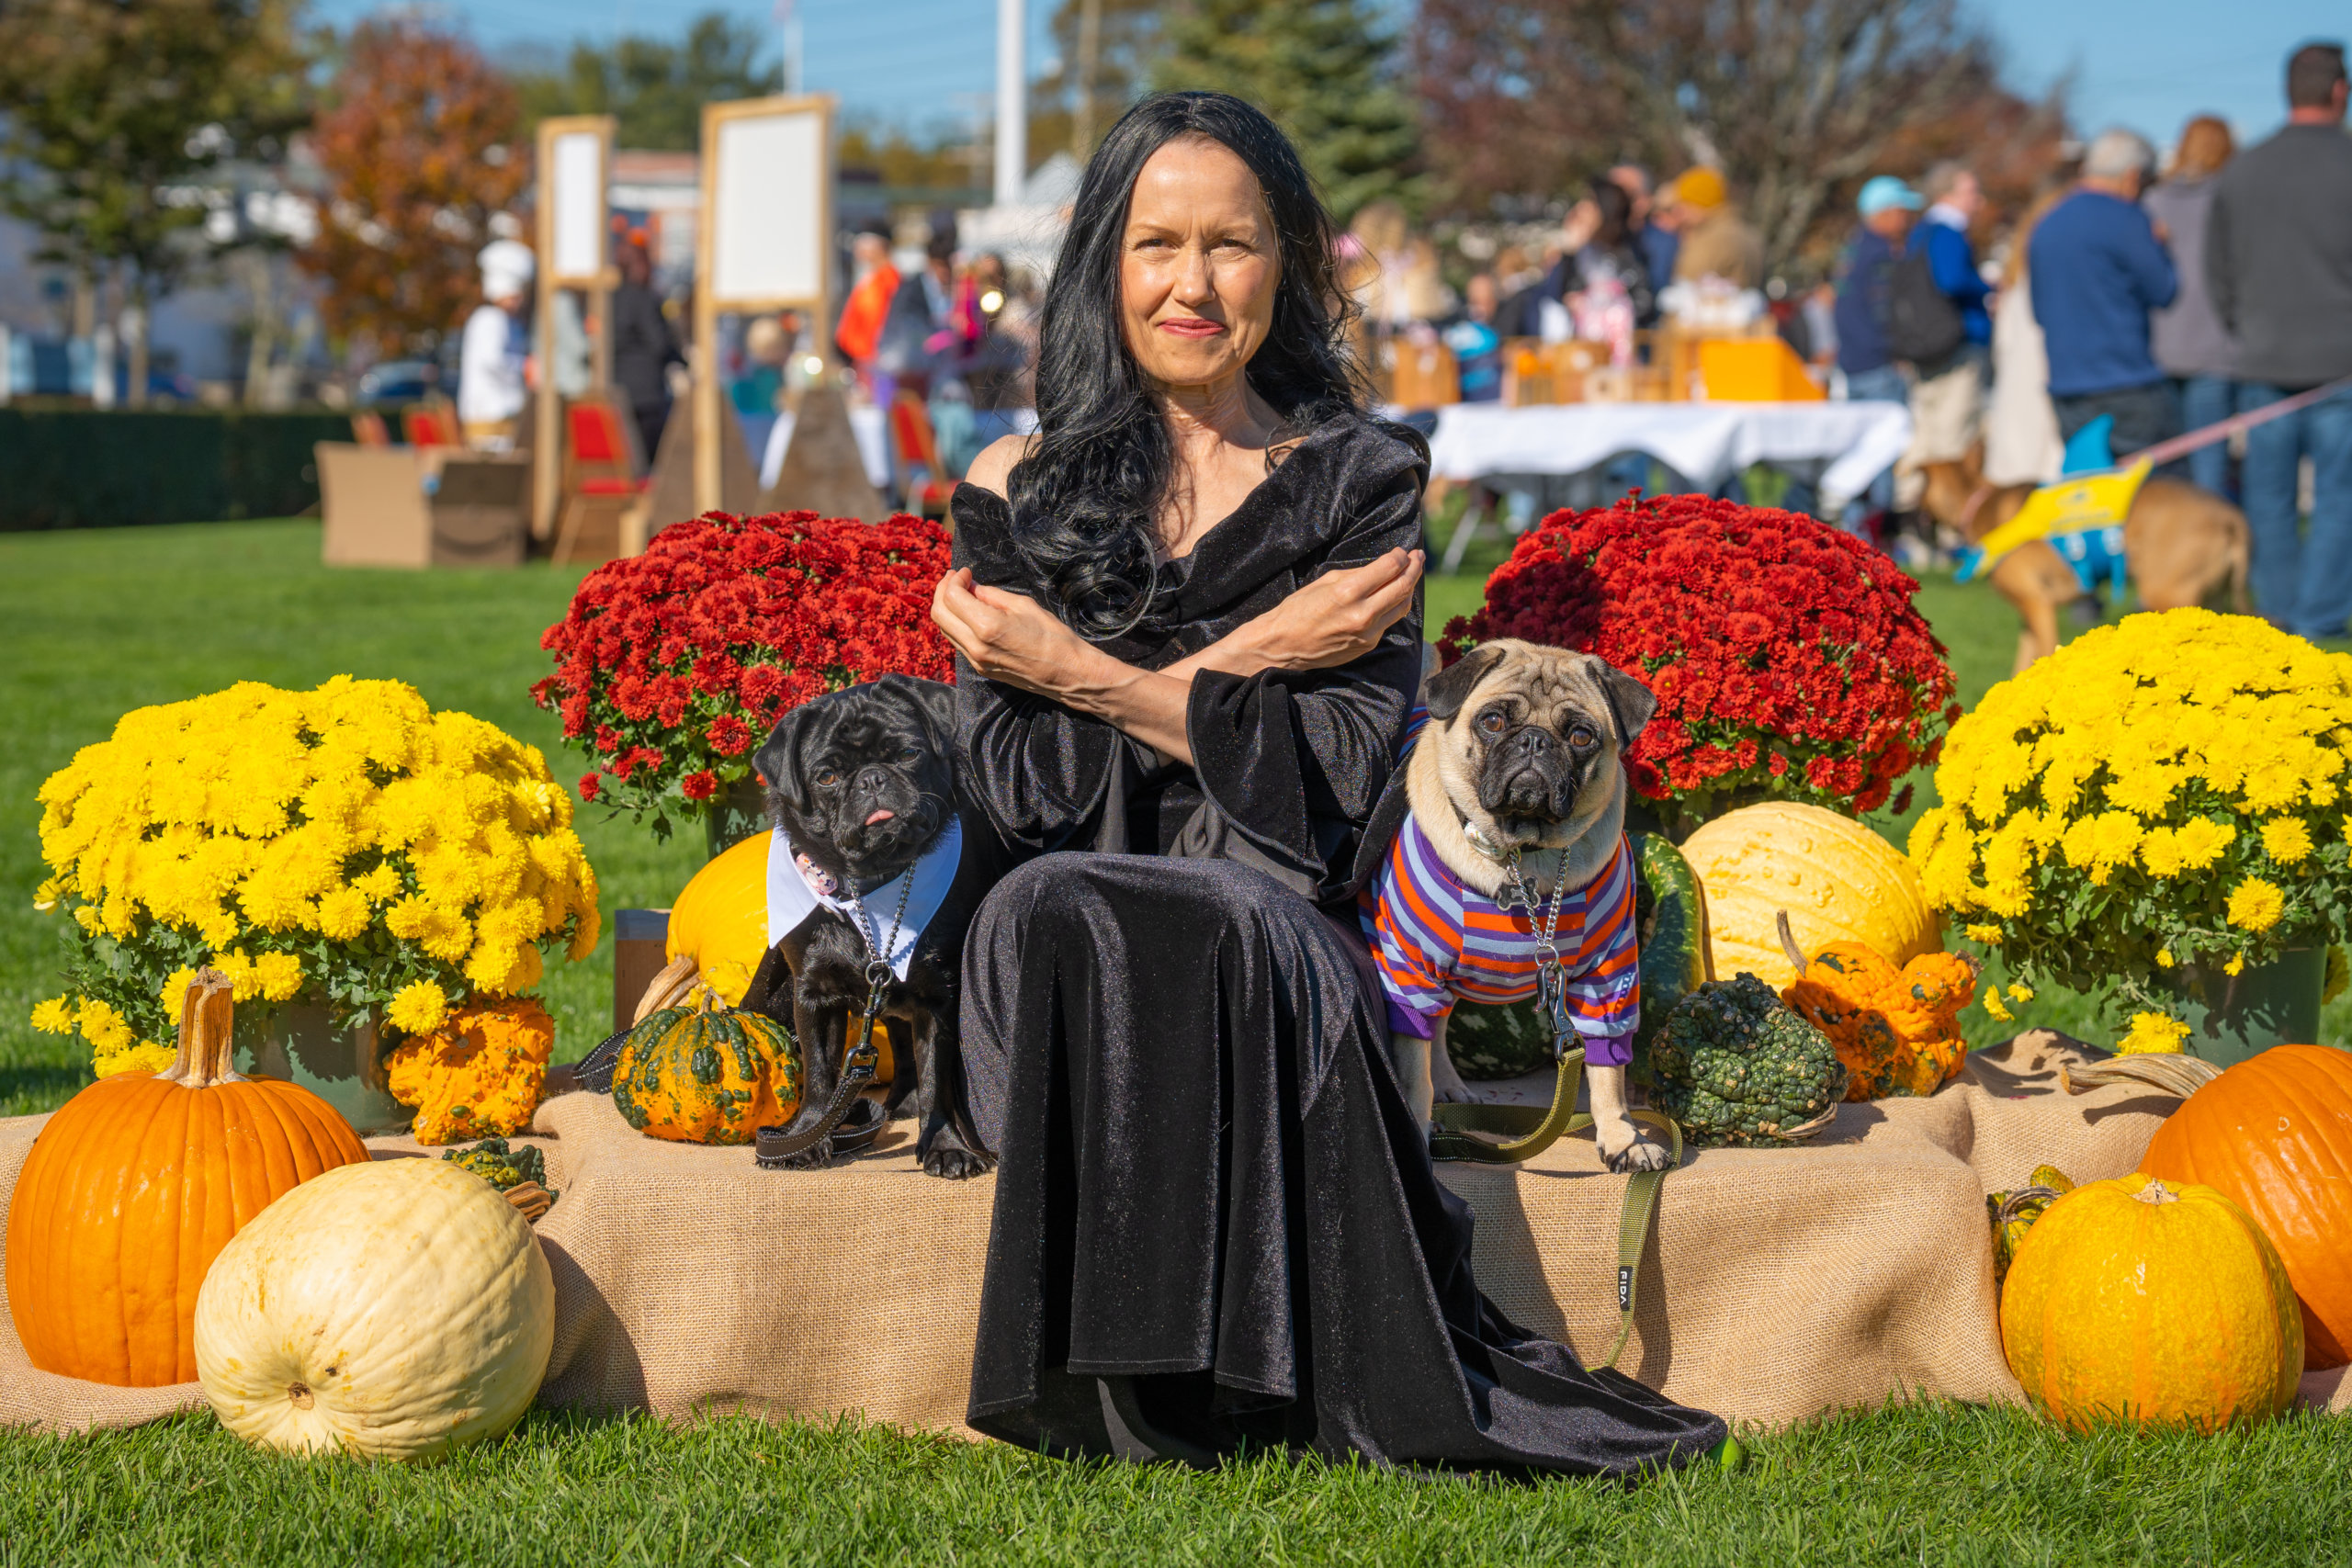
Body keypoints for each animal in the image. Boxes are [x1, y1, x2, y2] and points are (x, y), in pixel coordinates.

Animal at [1918, 444, 2248, 671]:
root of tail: (2230, 514)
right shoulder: (2029, 615)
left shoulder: (2040, 607)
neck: (1979, 501)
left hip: (2166, 595)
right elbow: (2021, 666)